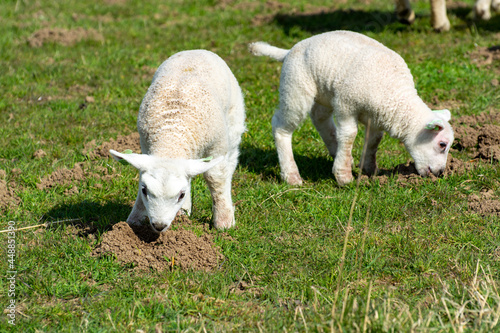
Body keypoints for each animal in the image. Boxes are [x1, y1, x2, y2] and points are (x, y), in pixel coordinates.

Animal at [108, 50, 245, 231]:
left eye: (181, 195)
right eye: (144, 190)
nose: (159, 225)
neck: (173, 137)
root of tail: (196, 51)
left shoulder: (217, 145)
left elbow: (216, 178)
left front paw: (224, 221)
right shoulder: (145, 145)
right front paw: (135, 219)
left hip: (234, 118)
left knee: (231, 158)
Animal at [248, 30, 456, 185]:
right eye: (442, 144)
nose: (440, 173)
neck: (395, 97)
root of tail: (290, 50)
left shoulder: (376, 117)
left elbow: (374, 141)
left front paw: (369, 169)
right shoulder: (346, 104)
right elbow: (349, 135)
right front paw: (343, 176)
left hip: (324, 92)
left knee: (319, 117)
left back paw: (336, 151)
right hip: (295, 88)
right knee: (281, 126)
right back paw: (291, 175)